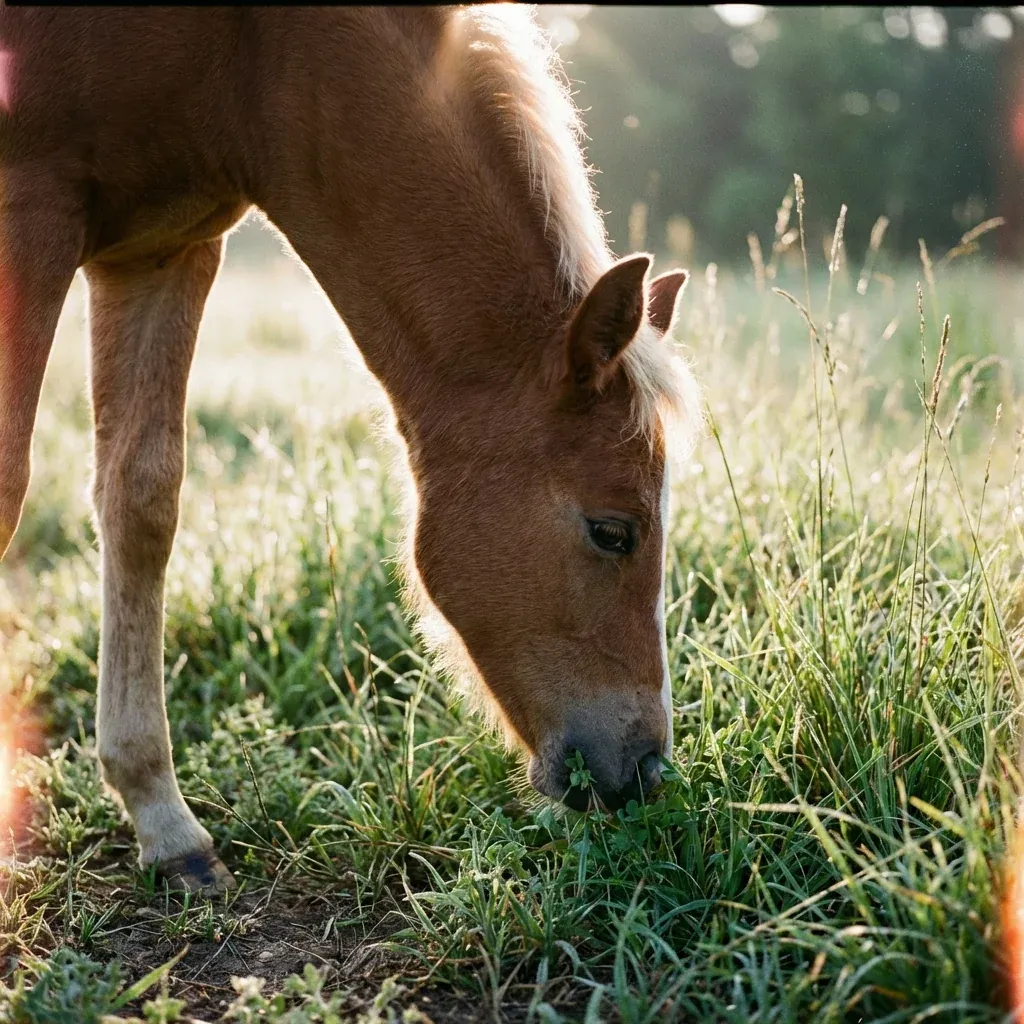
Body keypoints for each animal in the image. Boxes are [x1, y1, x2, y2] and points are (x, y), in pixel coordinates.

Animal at [0, 4, 700, 894]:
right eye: (613, 531)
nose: (645, 770)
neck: (251, 50)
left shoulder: (160, 248)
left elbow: (141, 499)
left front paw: (163, 819)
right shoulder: (31, 204)